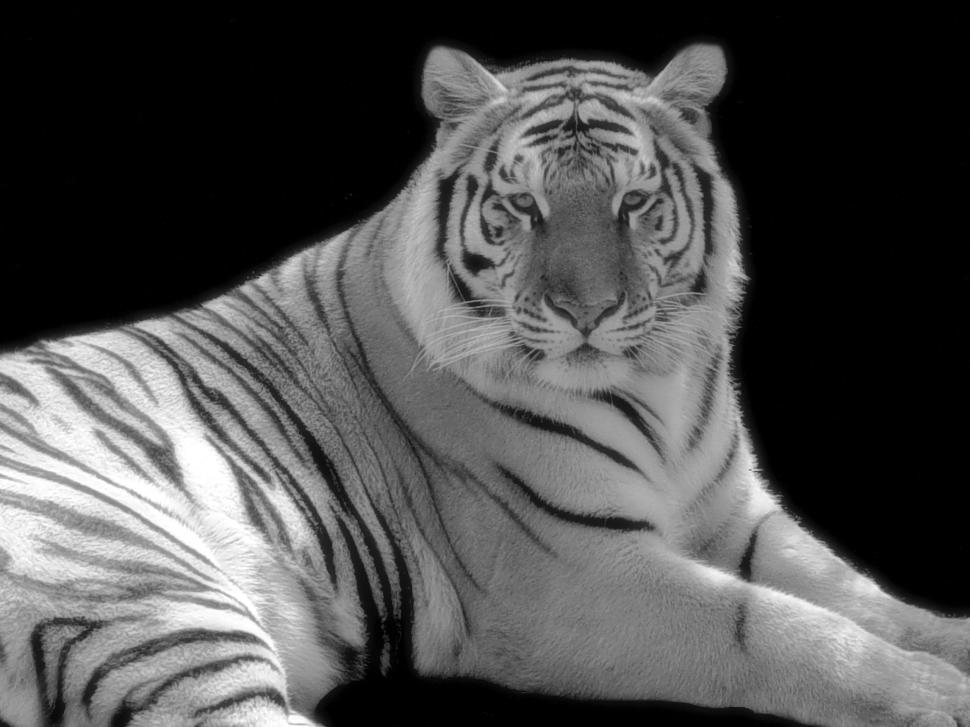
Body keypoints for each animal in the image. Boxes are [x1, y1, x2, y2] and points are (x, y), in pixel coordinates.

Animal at [1, 41, 969, 727]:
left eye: (632, 204)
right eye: (524, 207)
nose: (587, 310)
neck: (661, 388)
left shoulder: (732, 515)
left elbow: (861, 595)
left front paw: (953, 643)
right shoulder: (576, 572)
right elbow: (775, 627)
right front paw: (933, 694)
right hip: (141, 576)